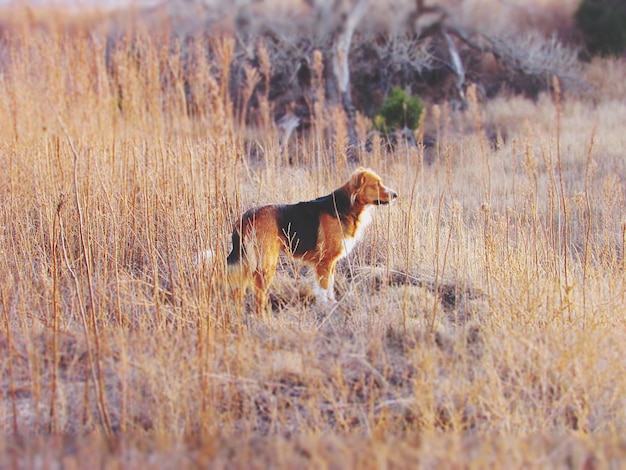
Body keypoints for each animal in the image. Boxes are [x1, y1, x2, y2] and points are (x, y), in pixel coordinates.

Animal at [227, 167, 398, 314]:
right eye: (376, 184)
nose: (395, 194)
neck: (344, 206)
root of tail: (246, 217)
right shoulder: (324, 261)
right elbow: (323, 287)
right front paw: (325, 307)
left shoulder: (330, 262)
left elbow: (330, 284)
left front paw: (332, 303)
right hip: (265, 263)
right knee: (258, 294)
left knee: (239, 290)